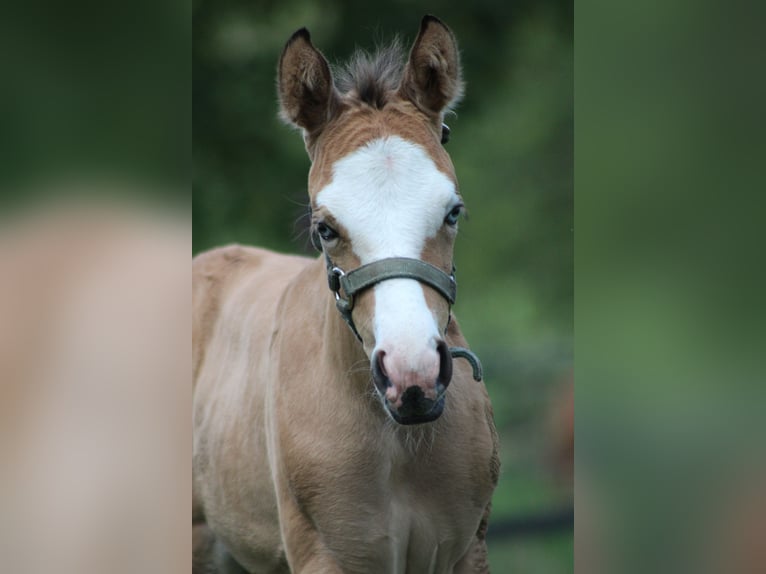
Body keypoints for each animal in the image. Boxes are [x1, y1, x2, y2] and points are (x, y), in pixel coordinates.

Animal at [195, 15, 500, 572]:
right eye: (324, 229)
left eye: (453, 211)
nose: (412, 376)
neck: (398, 444)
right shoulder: (325, 555)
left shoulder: (468, 550)